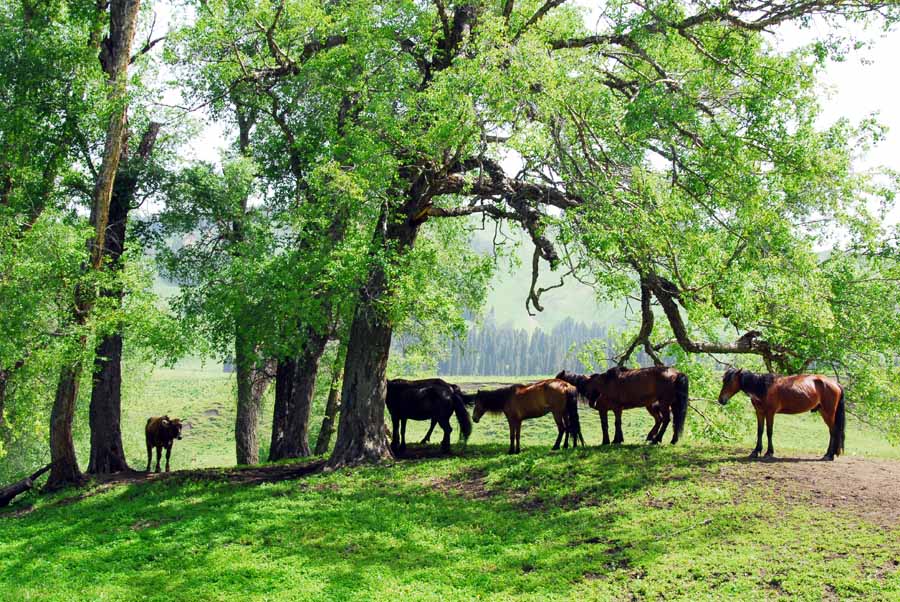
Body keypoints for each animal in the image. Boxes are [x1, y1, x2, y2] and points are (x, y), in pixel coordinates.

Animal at [556, 366, 688, 446]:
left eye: (557, 379)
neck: (598, 386)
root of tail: (677, 373)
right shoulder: (614, 409)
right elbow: (616, 423)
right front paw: (617, 439)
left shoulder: (607, 409)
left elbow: (607, 425)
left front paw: (609, 441)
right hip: (670, 404)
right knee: (672, 420)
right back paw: (671, 439)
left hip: (664, 403)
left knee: (666, 419)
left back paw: (656, 439)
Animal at [716, 366, 844, 460]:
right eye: (723, 380)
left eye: (730, 381)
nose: (721, 400)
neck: (763, 387)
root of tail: (835, 384)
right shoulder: (760, 412)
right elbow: (760, 431)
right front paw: (755, 451)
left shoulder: (770, 413)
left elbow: (769, 432)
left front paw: (769, 453)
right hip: (823, 412)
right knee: (832, 431)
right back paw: (828, 454)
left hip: (828, 413)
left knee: (833, 431)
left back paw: (829, 455)